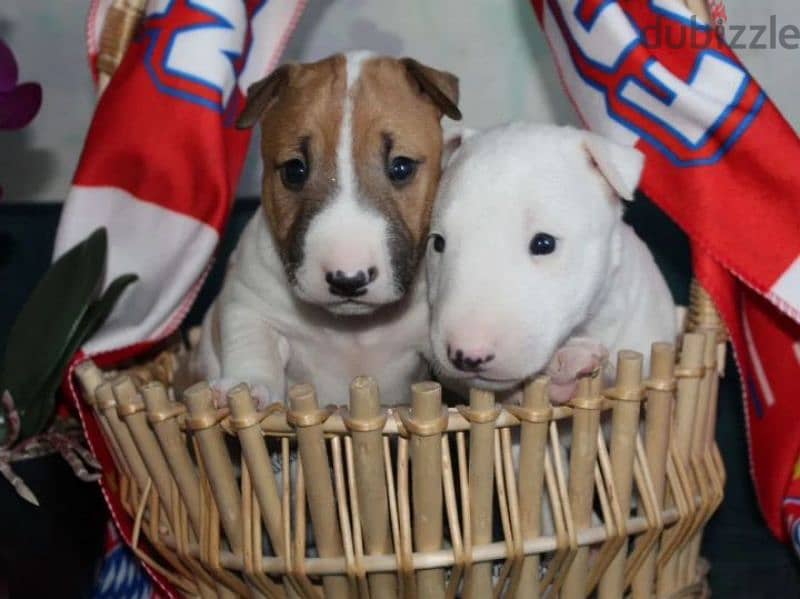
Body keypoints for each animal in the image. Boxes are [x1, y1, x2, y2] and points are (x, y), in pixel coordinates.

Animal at [190, 51, 460, 408]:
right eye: (294, 170)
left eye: (401, 167)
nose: (348, 280)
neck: (352, 329)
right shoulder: (246, 303)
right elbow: (252, 346)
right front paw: (248, 389)